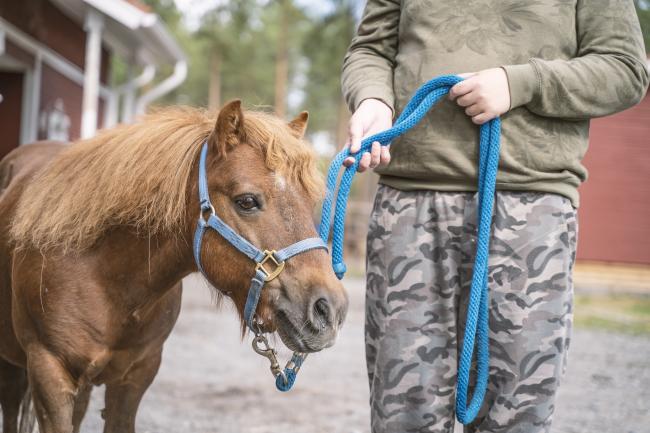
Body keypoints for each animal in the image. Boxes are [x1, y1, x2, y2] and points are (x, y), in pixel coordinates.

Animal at [0, 100, 346, 432]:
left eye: (310, 201)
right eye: (247, 201)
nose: (329, 308)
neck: (103, 275)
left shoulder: (135, 377)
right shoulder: (49, 373)